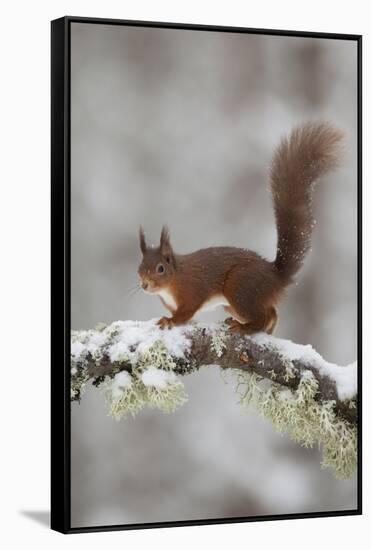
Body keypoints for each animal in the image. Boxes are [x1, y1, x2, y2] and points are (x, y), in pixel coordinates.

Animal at [138, 123, 344, 334]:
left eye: (160, 268)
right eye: (140, 266)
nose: (144, 285)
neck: (173, 279)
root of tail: (275, 277)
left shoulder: (192, 292)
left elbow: (185, 313)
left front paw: (169, 321)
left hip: (239, 287)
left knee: (263, 316)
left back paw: (245, 327)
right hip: (234, 302)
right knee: (271, 312)